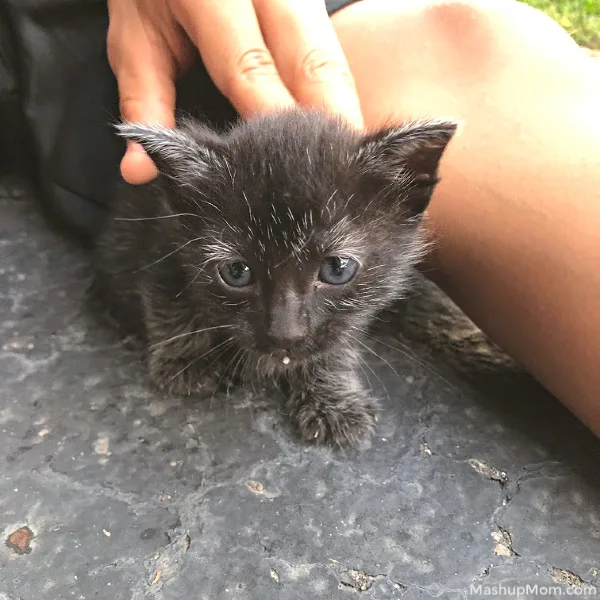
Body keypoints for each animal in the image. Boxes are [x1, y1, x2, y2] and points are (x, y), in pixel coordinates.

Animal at [92, 108, 454, 448]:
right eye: (236, 272)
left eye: (337, 268)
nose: (286, 334)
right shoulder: (163, 239)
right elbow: (166, 300)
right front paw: (186, 360)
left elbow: (342, 336)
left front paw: (333, 397)